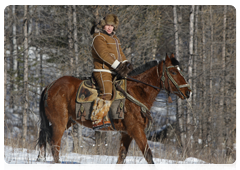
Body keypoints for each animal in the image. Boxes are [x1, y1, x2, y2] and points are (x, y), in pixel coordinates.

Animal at [36, 52, 191, 169]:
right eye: (173, 71)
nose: (188, 91)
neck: (136, 92)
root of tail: (50, 86)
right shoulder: (136, 130)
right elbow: (148, 154)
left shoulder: (126, 133)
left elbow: (121, 158)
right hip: (59, 123)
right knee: (55, 144)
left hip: (68, 121)